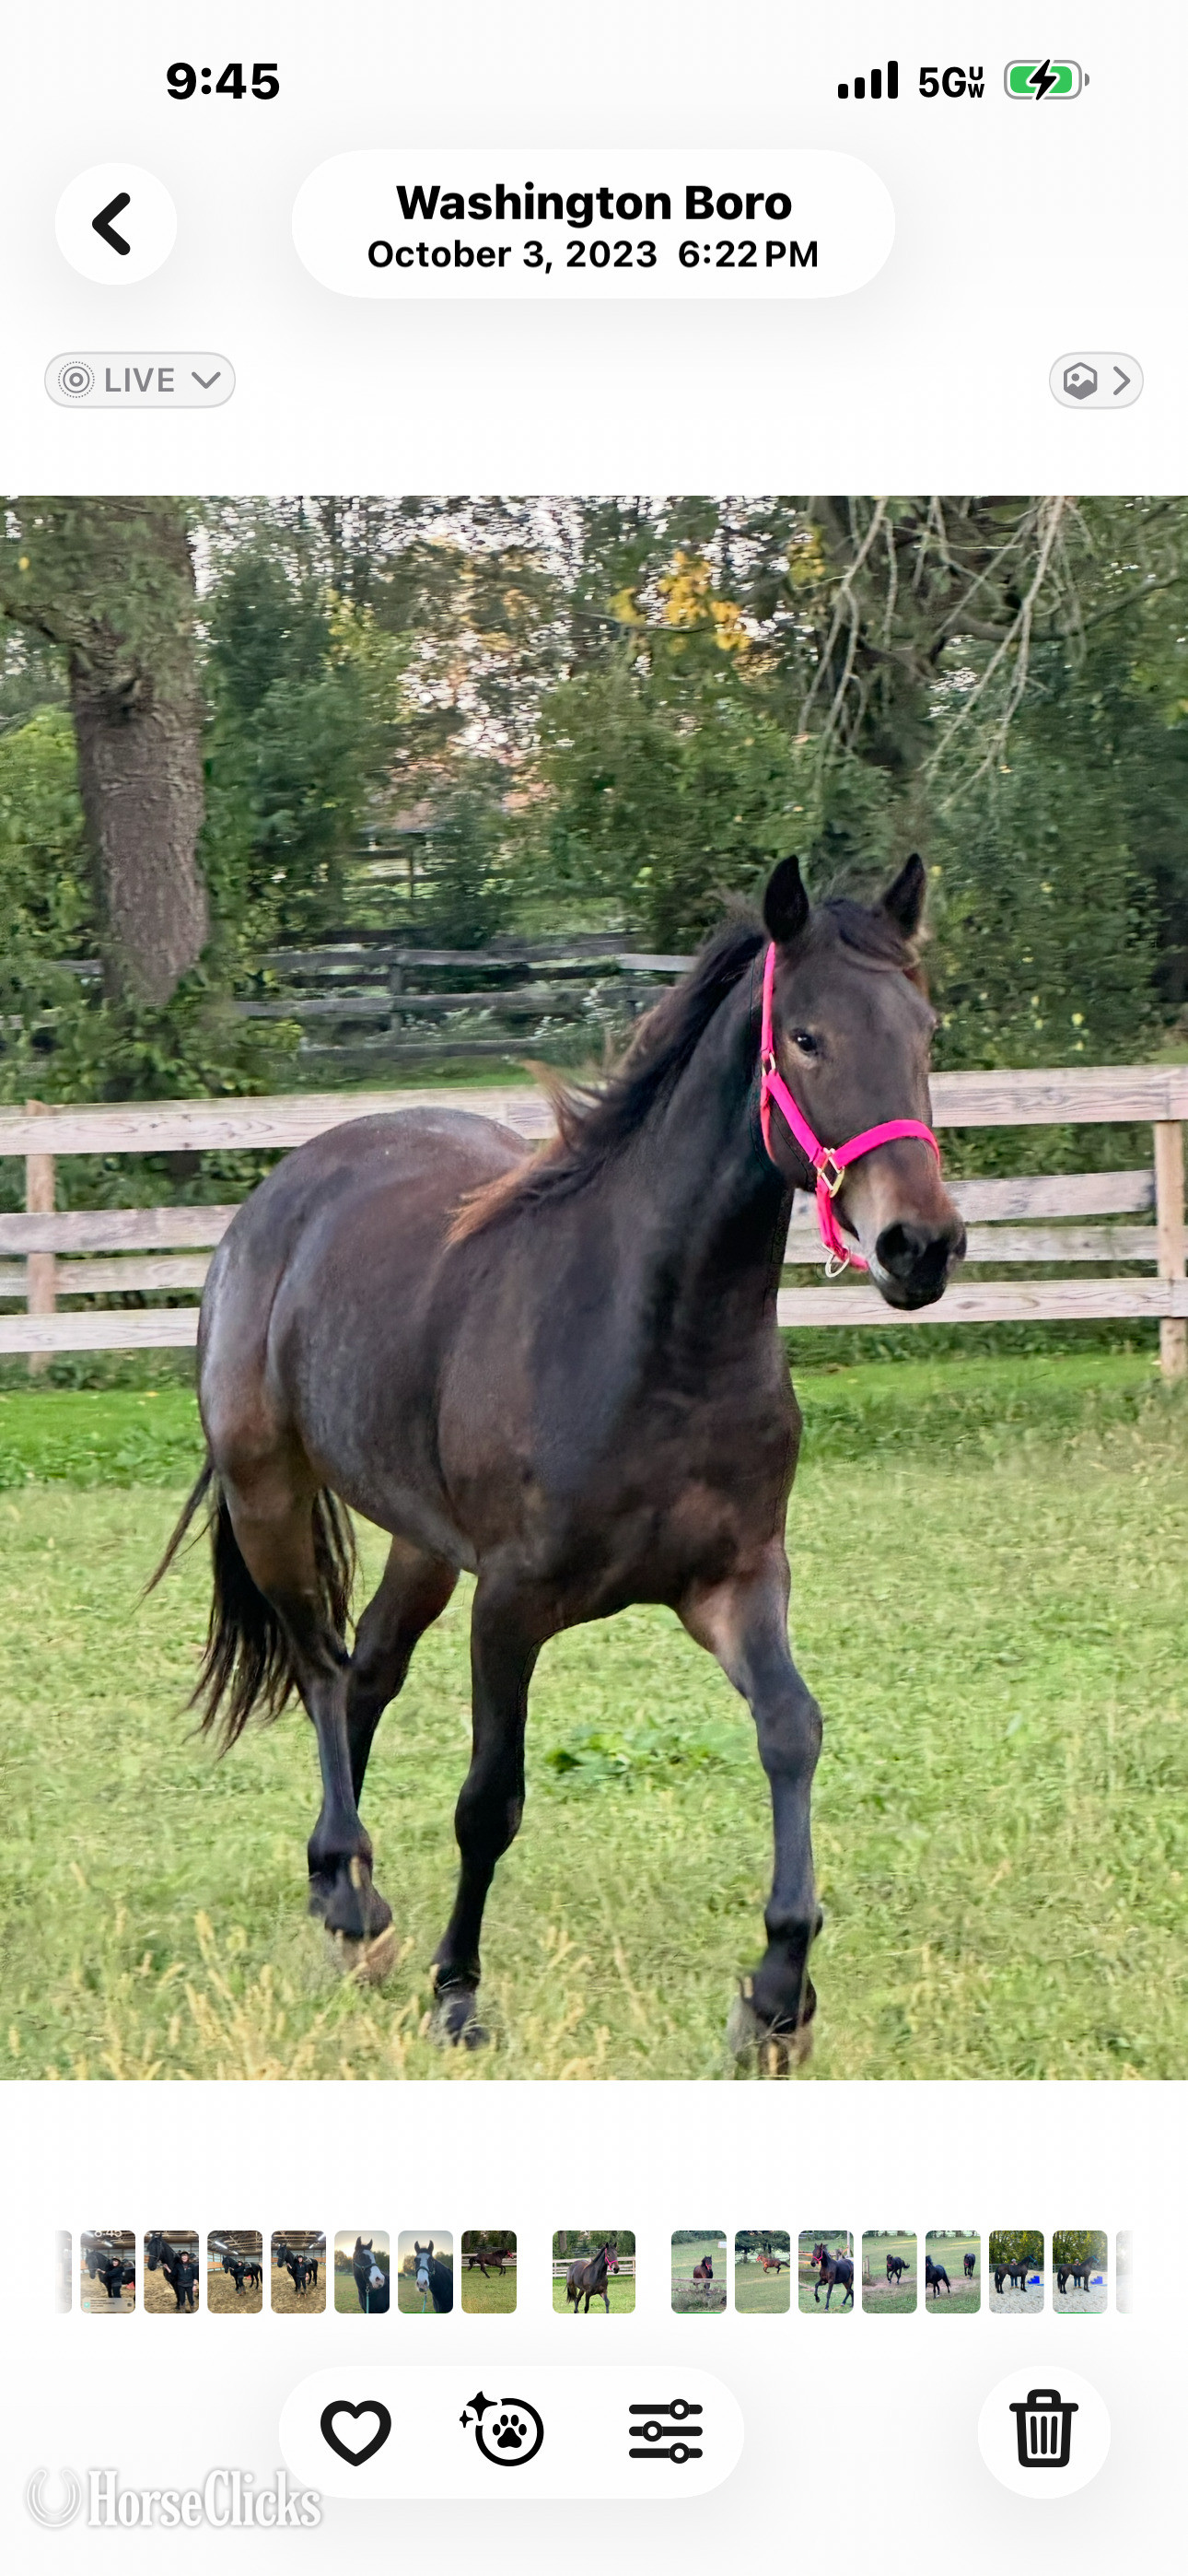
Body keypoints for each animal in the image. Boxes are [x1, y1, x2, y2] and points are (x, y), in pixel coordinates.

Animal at [151, 858, 963, 2073]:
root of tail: (281, 1193)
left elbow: (792, 1732)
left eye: (923, 1032)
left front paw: (777, 1995)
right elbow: (490, 1799)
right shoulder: (513, 1603)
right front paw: (457, 1994)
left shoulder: (738, 1581)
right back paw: (352, 1906)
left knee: (365, 1671)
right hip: (270, 1498)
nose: (922, 1247)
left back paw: (340, 1879)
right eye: (808, 1038)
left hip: (422, 1544)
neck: (659, 1345)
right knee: (317, 1665)